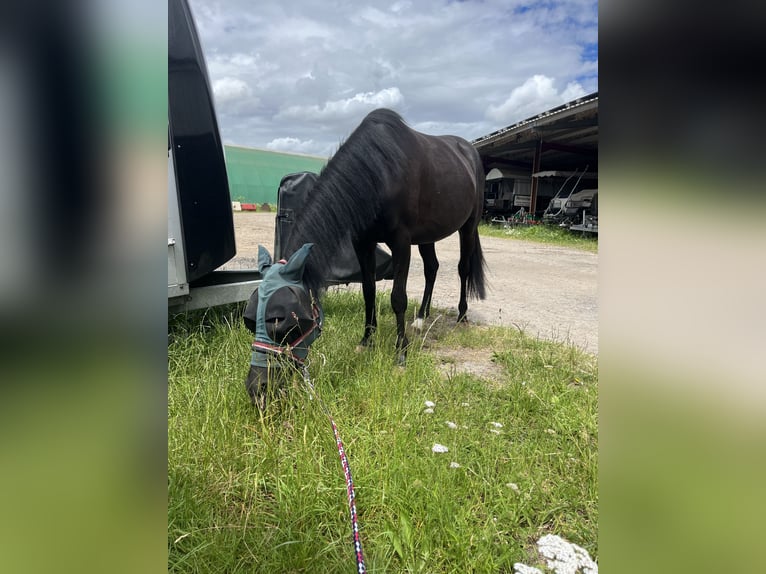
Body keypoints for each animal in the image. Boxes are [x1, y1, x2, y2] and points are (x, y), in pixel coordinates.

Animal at [284, 109, 492, 364]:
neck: (380, 173)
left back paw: (462, 316)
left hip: (468, 228)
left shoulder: (401, 243)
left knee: (463, 269)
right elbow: (368, 291)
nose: (274, 363)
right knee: (432, 268)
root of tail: (469, 151)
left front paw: (401, 350)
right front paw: (366, 340)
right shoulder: (363, 243)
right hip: (427, 236)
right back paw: (421, 318)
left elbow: (398, 298)